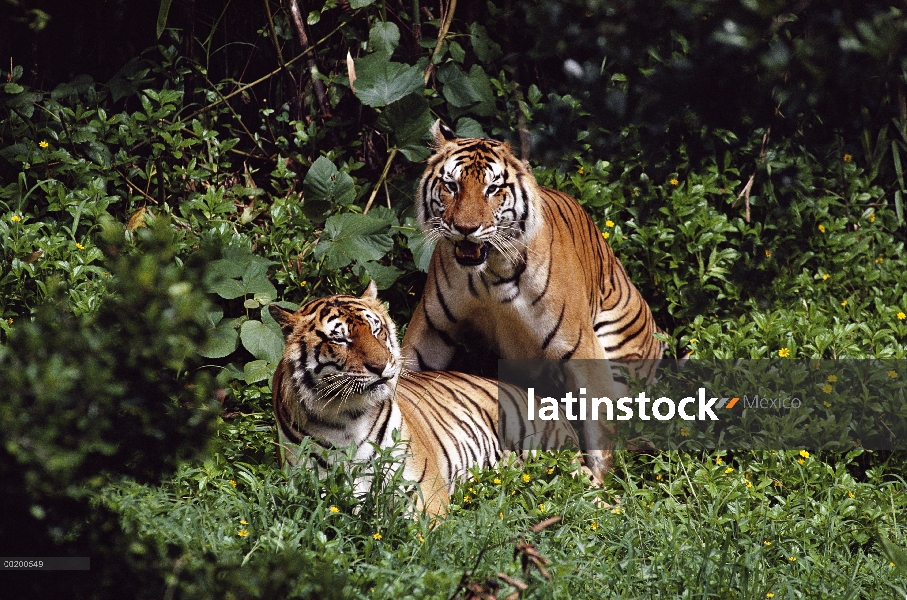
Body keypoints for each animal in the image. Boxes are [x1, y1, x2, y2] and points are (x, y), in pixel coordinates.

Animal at [404, 120, 668, 482]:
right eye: (451, 186)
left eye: (492, 189)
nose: (465, 228)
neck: (490, 273)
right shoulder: (432, 329)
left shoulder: (581, 347)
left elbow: (599, 428)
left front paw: (600, 482)